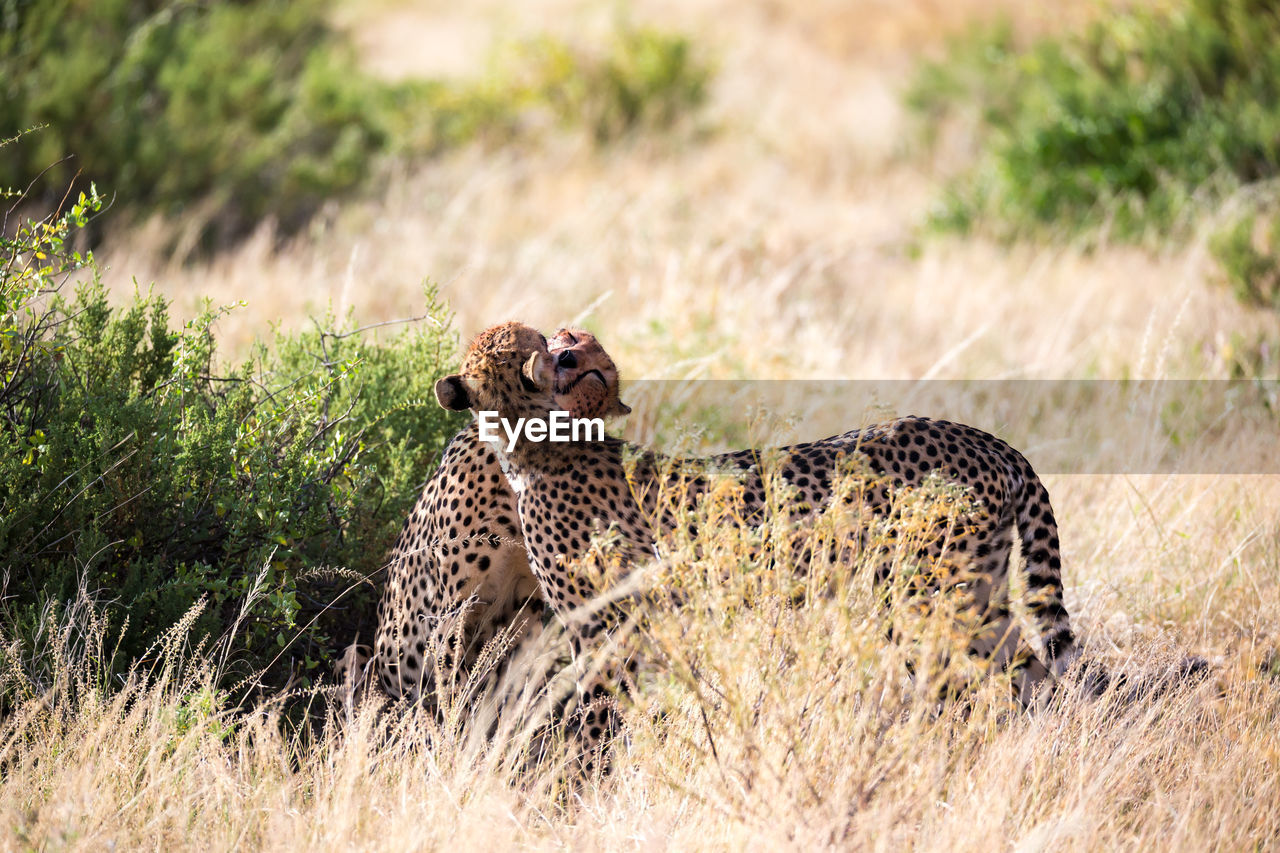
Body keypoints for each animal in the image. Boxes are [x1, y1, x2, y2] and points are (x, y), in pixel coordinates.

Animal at [358, 327, 627, 706]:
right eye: (567, 339)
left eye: (596, 376)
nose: (567, 357)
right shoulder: (453, 609)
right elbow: (453, 685)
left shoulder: (524, 607)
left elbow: (510, 685)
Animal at [437, 318, 1080, 737]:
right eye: (563, 347)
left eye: (578, 356)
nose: (568, 344)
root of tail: (983, 438)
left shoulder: (606, 629)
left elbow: (596, 717)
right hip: (976, 595)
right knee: (1033, 675)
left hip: (923, 600)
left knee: (960, 690)